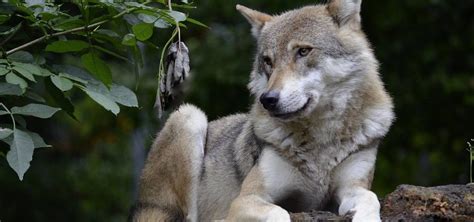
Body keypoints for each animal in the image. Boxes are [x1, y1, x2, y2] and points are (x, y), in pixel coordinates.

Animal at [130, 0, 392, 221]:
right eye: (268, 61)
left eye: (303, 51)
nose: (268, 99)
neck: (320, 141)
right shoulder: (247, 199)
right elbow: (279, 213)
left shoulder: (352, 187)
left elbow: (372, 198)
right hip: (189, 117)